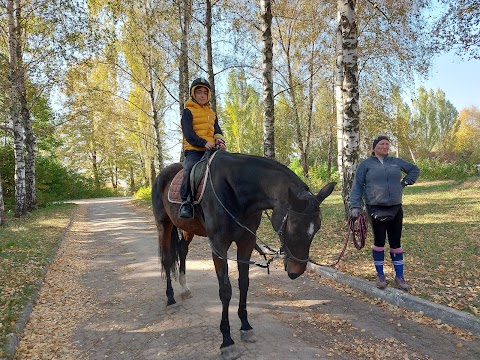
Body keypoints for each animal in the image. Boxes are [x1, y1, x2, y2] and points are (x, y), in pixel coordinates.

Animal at [152, 150, 336, 360]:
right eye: (293, 224)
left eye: (317, 227)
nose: (296, 271)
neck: (236, 191)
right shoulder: (219, 245)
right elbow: (225, 290)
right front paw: (227, 341)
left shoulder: (246, 242)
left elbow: (244, 283)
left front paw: (246, 327)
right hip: (164, 225)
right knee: (167, 259)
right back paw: (171, 299)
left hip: (187, 228)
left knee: (182, 250)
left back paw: (184, 288)